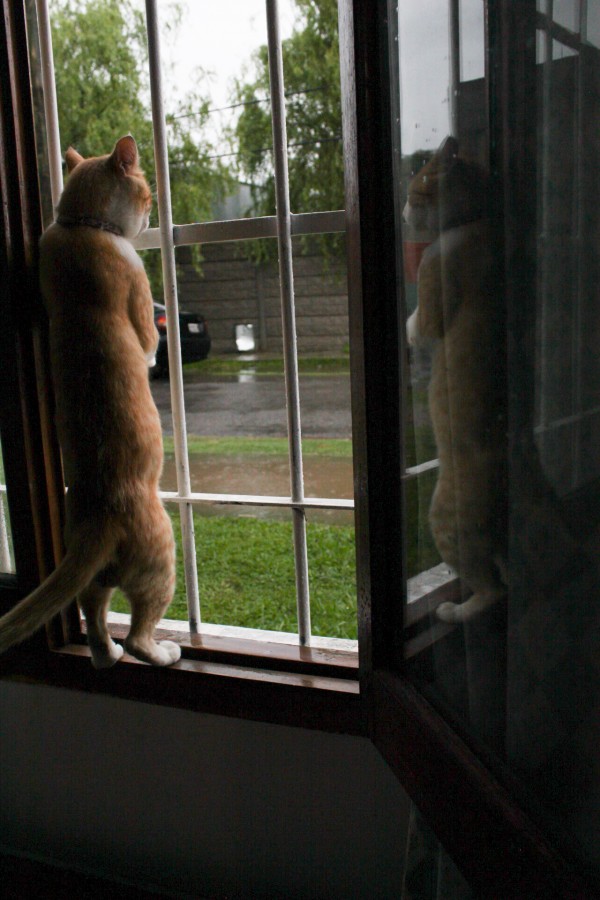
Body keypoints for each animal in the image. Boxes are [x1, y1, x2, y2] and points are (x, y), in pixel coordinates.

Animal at [0, 135, 180, 668]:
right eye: (146, 194)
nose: (151, 211)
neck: (79, 227)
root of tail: (97, 520)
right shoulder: (137, 288)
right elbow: (149, 343)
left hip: (97, 578)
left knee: (95, 611)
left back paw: (105, 655)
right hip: (160, 561)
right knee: (139, 631)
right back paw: (160, 652)